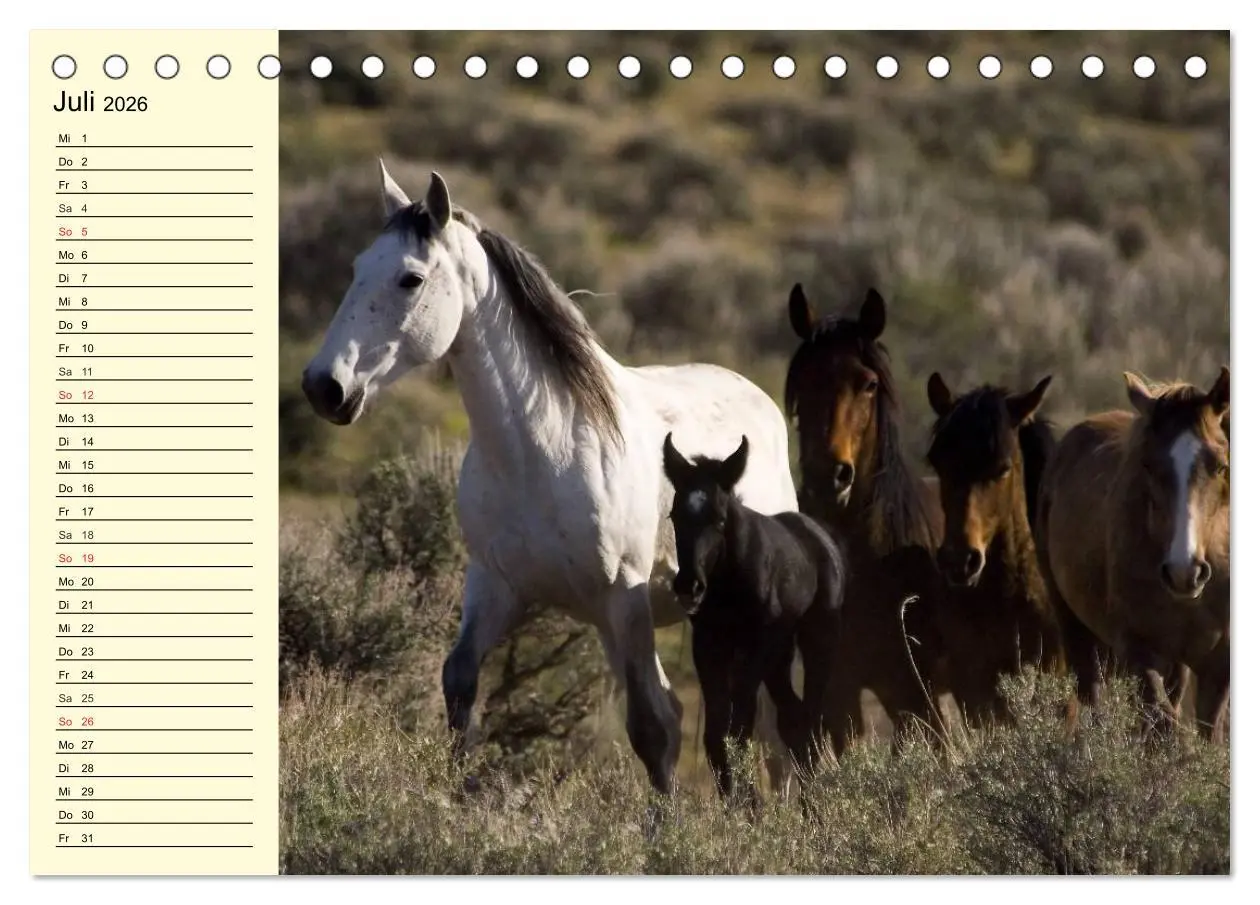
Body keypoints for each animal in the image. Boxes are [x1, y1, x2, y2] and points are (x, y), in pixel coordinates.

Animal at [301, 163, 801, 793]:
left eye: (410, 279)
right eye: (356, 268)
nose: (324, 386)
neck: (543, 451)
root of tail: (757, 399)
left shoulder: (623, 599)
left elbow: (651, 728)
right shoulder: (496, 584)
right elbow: (460, 686)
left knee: (768, 725)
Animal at [662, 433, 846, 801]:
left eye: (719, 519)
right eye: (674, 515)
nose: (689, 586)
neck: (728, 582)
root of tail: (823, 539)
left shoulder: (756, 645)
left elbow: (740, 729)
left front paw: (749, 806)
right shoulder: (709, 645)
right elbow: (717, 734)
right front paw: (735, 805)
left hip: (814, 640)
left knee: (811, 720)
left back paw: (814, 805)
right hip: (780, 655)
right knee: (794, 719)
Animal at [1035, 367, 1230, 742]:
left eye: (1220, 466)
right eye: (1149, 466)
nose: (1185, 572)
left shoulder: (1217, 665)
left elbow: (1206, 733)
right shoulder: (1138, 650)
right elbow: (1163, 725)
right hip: (1075, 628)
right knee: (1092, 696)